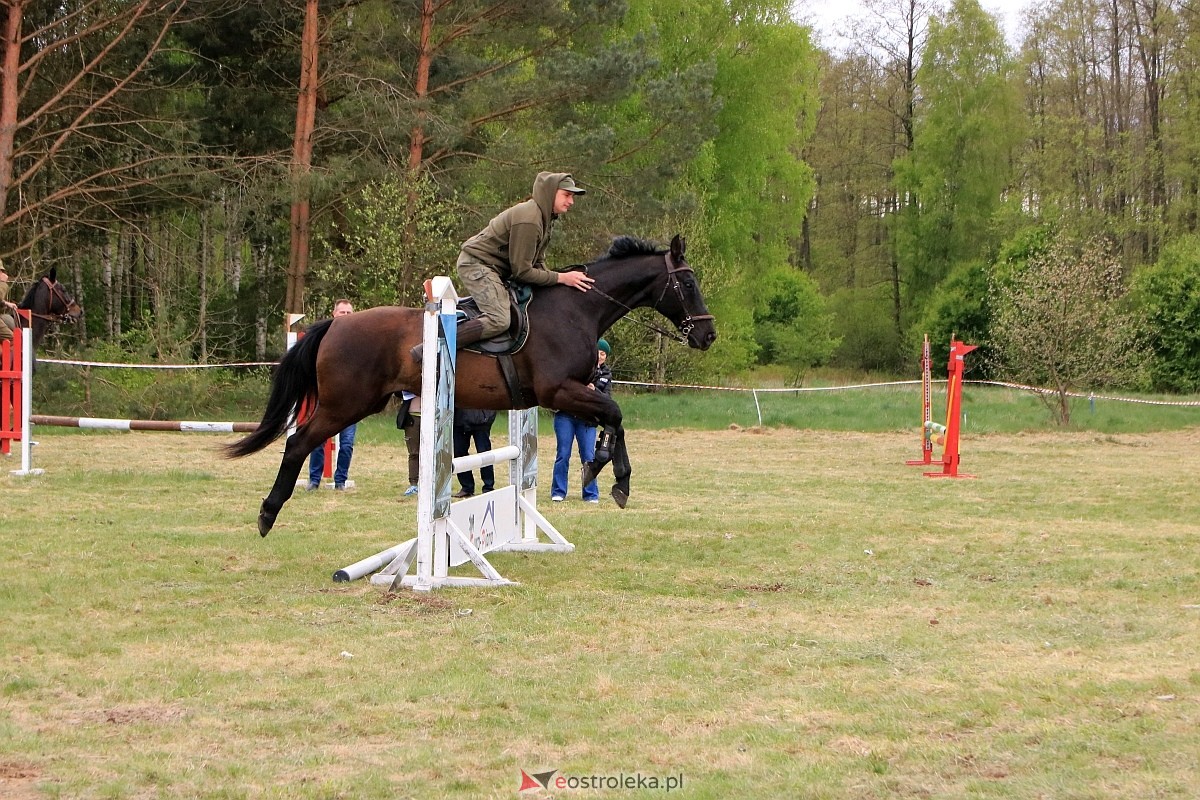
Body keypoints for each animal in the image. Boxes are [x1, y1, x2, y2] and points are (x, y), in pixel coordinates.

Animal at [224, 236, 710, 537]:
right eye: (687, 282)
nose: (708, 335)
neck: (577, 309)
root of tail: (334, 324)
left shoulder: (571, 393)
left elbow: (612, 419)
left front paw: (607, 474)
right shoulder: (560, 392)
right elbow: (614, 414)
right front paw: (609, 474)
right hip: (345, 405)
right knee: (297, 443)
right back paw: (268, 512)